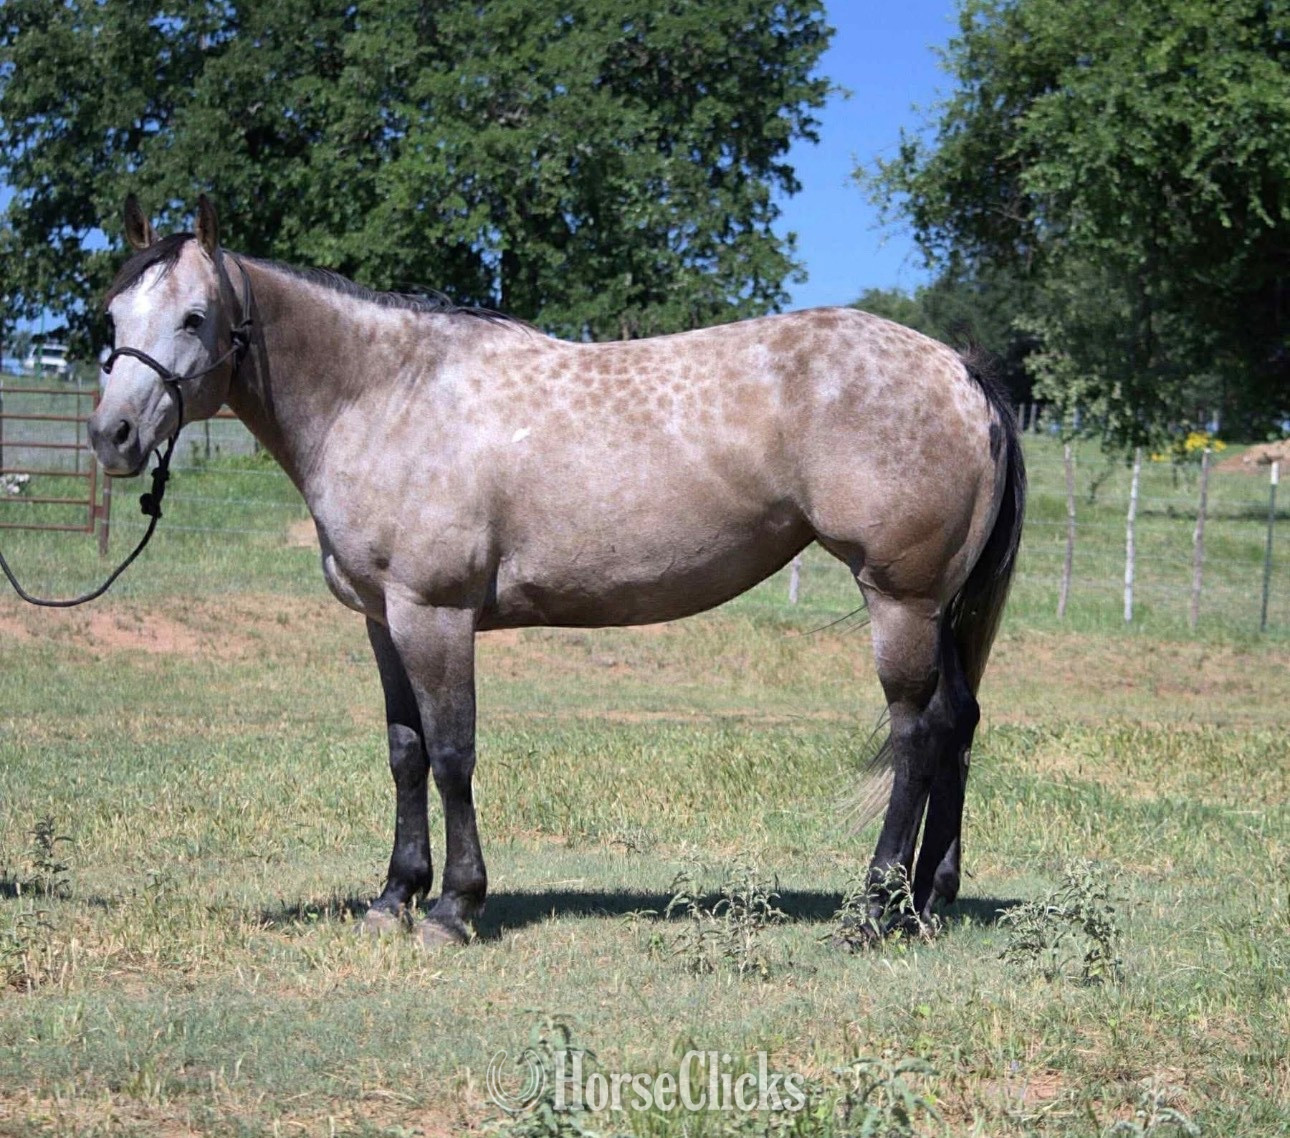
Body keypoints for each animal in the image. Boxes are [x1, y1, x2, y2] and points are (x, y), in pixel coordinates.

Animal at [89, 196, 1025, 948]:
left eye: (196, 316)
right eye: (112, 315)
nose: (112, 437)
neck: (388, 396)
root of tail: (959, 370)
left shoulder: (435, 614)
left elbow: (453, 753)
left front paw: (454, 908)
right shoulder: (383, 618)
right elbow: (405, 752)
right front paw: (394, 896)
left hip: (900, 601)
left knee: (915, 733)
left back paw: (874, 911)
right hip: (937, 610)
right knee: (957, 724)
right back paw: (930, 900)